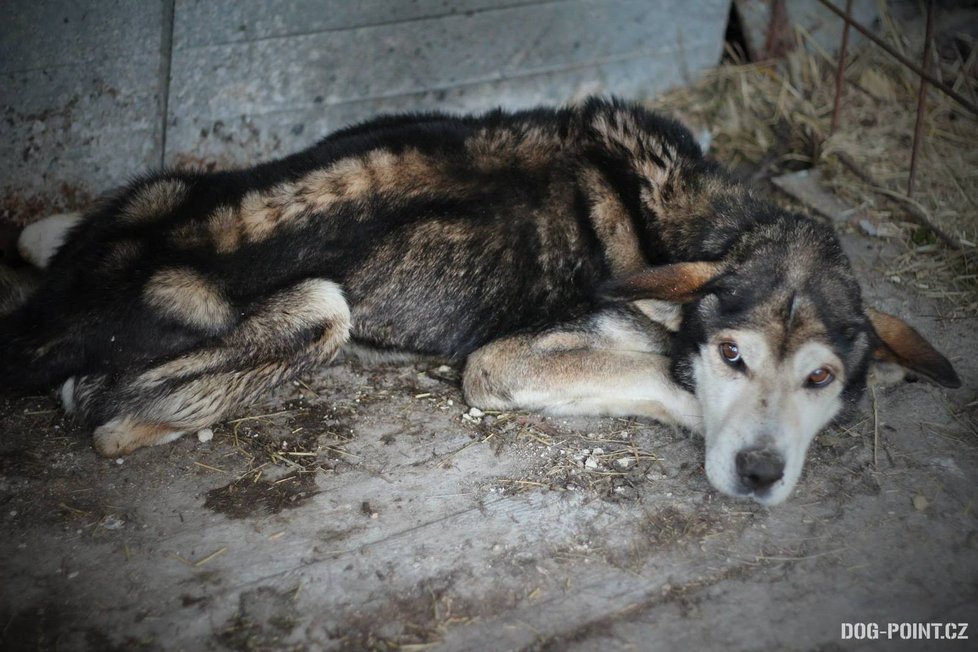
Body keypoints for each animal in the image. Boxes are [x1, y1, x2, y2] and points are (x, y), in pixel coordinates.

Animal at [0, 98, 960, 504]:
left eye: (820, 377)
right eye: (733, 356)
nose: (759, 476)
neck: (692, 220)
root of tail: (46, 316)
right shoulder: (504, 361)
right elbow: (665, 377)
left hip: (163, 185)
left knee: (43, 235)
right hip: (322, 305)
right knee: (107, 422)